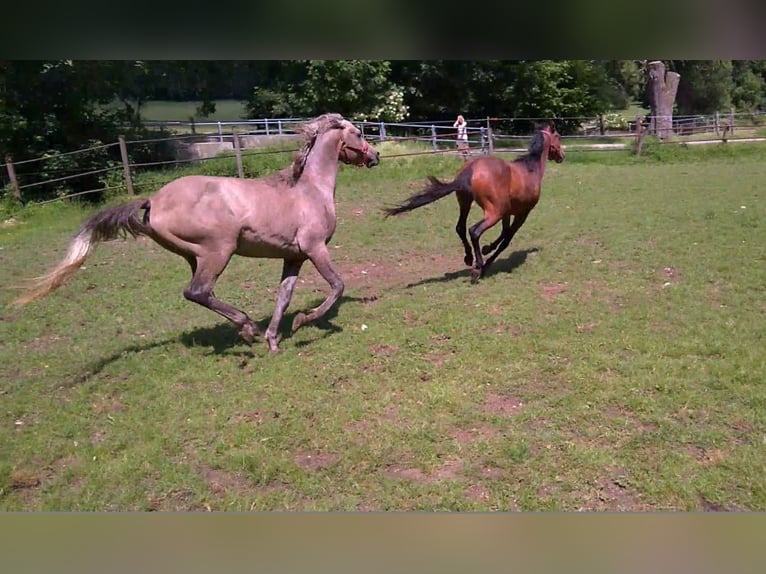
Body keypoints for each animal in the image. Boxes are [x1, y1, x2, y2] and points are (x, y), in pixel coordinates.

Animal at [13, 113, 380, 354]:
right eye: (359, 132)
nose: (375, 156)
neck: (309, 190)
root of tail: (153, 200)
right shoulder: (315, 248)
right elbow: (337, 285)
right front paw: (304, 321)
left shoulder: (294, 256)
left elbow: (284, 296)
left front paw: (274, 339)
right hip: (218, 251)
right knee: (197, 291)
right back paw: (246, 327)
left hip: (194, 255)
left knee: (200, 293)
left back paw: (248, 329)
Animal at [388, 122, 560, 282]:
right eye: (557, 136)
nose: (561, 156)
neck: (530, 169)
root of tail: (470, 170)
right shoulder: (522, 214)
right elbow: (506, 239)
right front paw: (487, 260)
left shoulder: (507, 213)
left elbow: (504, 232)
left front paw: (487, 248)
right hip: (493, 213)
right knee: (474, 231)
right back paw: (478, 267)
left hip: (466, 203)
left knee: (460, 228)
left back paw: (469, 258)